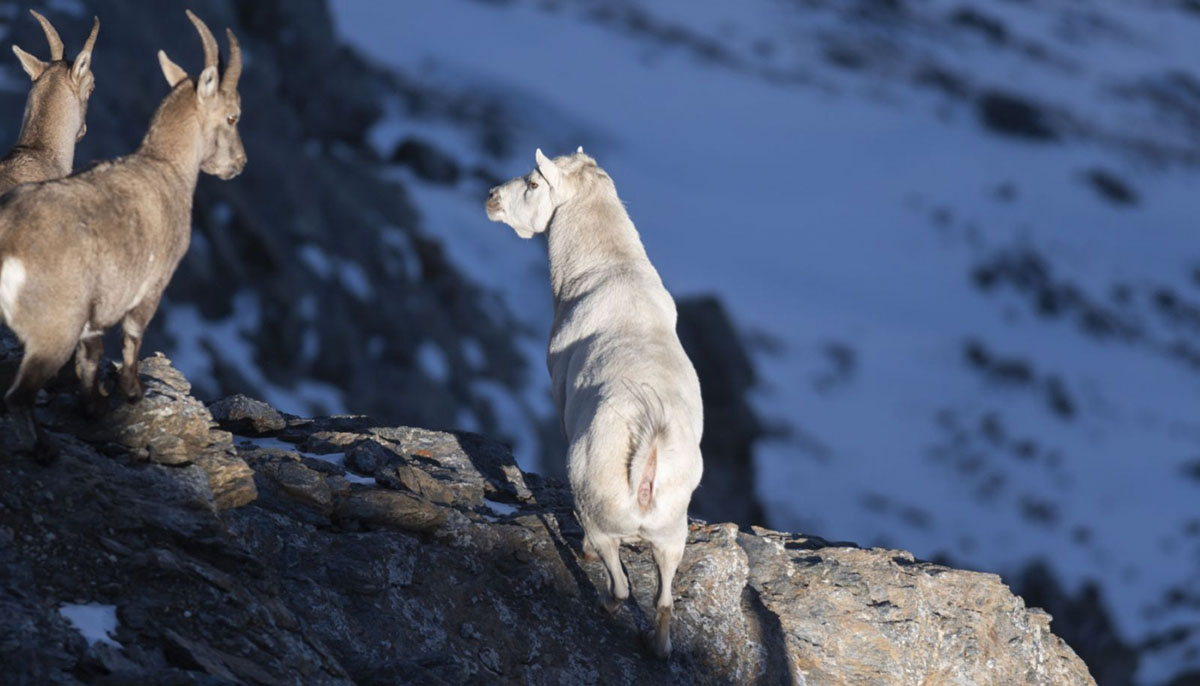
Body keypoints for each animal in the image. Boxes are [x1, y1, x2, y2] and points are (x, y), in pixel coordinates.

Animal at [484, 147, 700, 657]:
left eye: (534, 183)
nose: (492, 198)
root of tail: (647, 465)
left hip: (600, 516)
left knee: (618, 585)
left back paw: (601, 602)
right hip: (672, 535)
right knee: (663, 599)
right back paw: (657, 647)